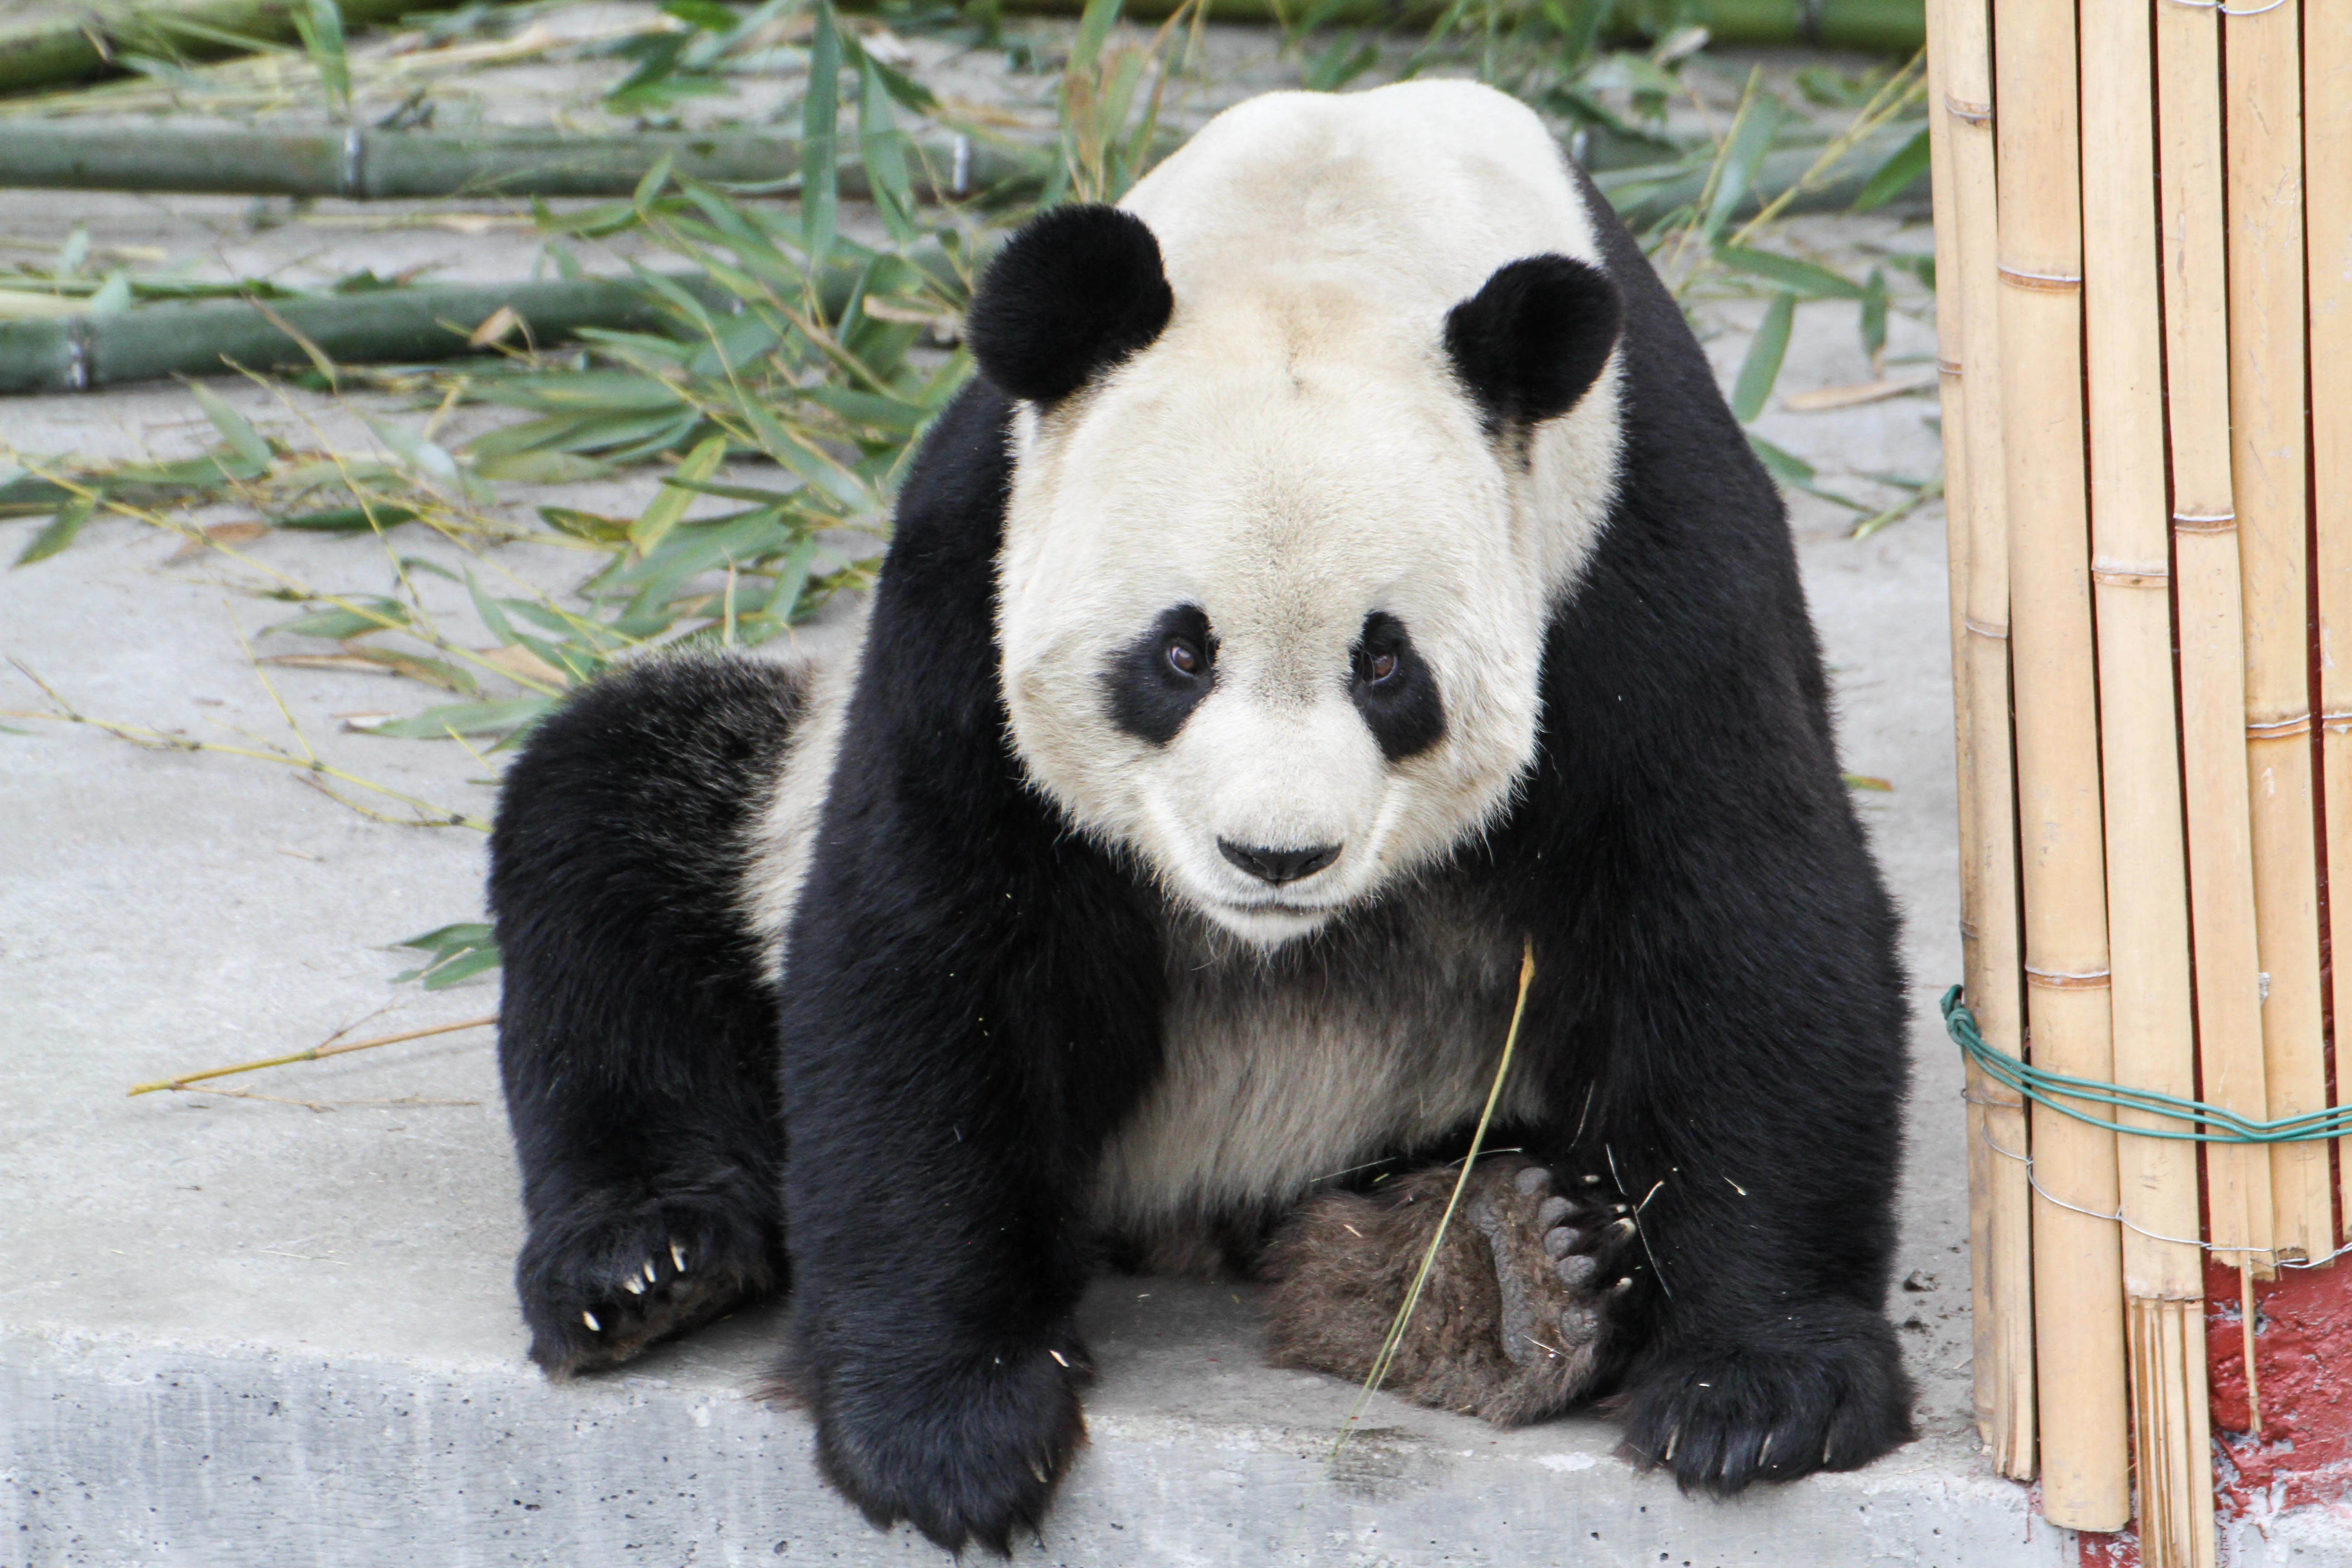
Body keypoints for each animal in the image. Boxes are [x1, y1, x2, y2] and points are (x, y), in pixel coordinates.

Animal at [488, 80, 1915, 1555]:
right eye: (1178, 655)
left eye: (1386, 666)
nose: (1273, 856)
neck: (1332, 219)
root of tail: (1193, 1209)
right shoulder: (976, 564)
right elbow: (932, 940)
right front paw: (947, 1421)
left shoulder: (1630, 553)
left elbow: (1738, 923)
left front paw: (1759, 1388)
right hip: (761, 794)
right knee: (607, 823)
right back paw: (645, 1262)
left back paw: (1504, 1263)